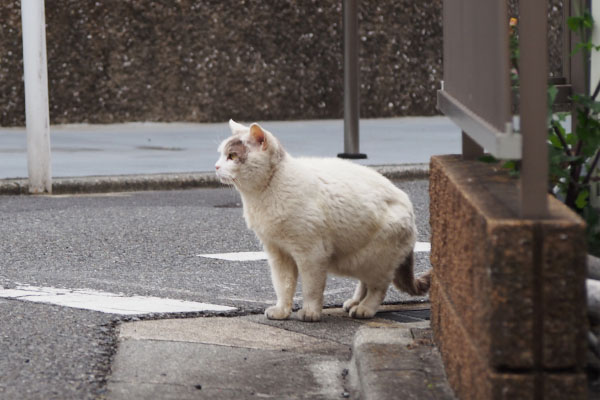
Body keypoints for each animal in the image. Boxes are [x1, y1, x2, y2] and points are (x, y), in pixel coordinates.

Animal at [216, 119, 432, 322]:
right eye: (220, 154)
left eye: (232, 156)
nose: (216, 166)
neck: (262, 194)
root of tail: (410, 209)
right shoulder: (278, 253)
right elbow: (283, 286)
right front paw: (282, 311)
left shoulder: (311, 254)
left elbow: (311, 289)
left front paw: (310, 313)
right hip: (357, 260)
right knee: (365, 283)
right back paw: (354, 302)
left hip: (375, 258)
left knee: (378, 287)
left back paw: (364, 308)